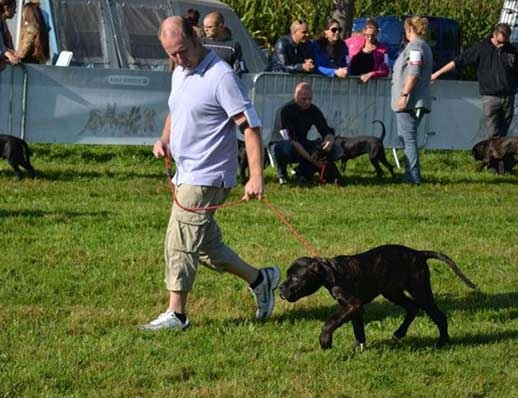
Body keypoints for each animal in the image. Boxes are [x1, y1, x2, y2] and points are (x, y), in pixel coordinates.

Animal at [280, 244, 480, 350]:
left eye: (295, 278)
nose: (281, 288)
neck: (333, 272)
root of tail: (418, 253)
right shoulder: (355, 309)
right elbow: (358, 329)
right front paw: (359, 348)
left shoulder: (353, 305)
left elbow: (331, 321)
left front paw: (325, 341)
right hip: (392, 291)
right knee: (412, 307)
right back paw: (399, 333)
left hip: (420, 290)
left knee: (438, 315)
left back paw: (443, 342)